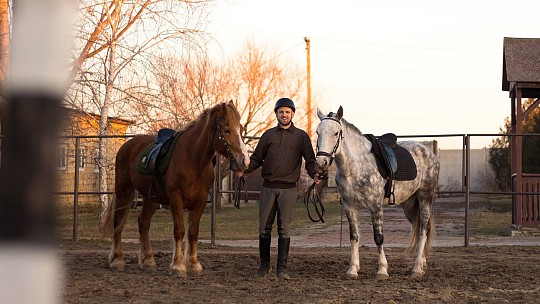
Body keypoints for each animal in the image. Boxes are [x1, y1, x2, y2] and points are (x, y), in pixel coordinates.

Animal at [100, 101, 249, 276]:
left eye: (240, 129)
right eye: (226, 130)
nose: (244, 161)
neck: (193, 159)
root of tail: (127, 146)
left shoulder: (200, 201)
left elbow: (193, 232)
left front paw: (193, 265)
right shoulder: (176, 198)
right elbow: (179, 230)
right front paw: (178, 266)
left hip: (151, 198)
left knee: (143, 223)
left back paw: (148, 261)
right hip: (124, 191)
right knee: (118, 222)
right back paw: (117, 260)